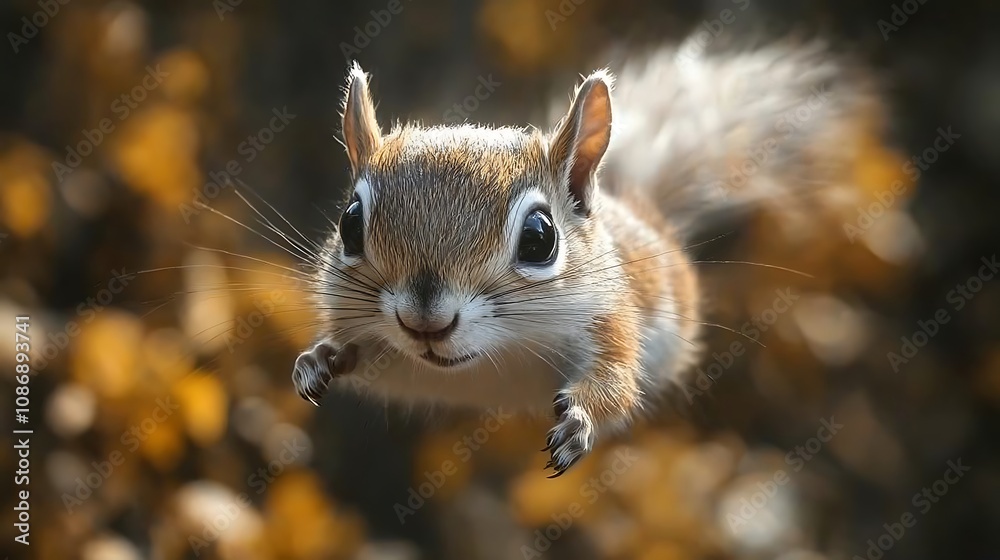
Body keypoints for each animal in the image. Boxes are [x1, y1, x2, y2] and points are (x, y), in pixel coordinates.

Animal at [291, 35, 879, 477]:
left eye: (539, 238)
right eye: (349, 224)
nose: (424, 322)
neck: (492, 362)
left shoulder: (611, 324)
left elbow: (616, 385)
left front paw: (580, 422)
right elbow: (354, 353)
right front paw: (320, 359)